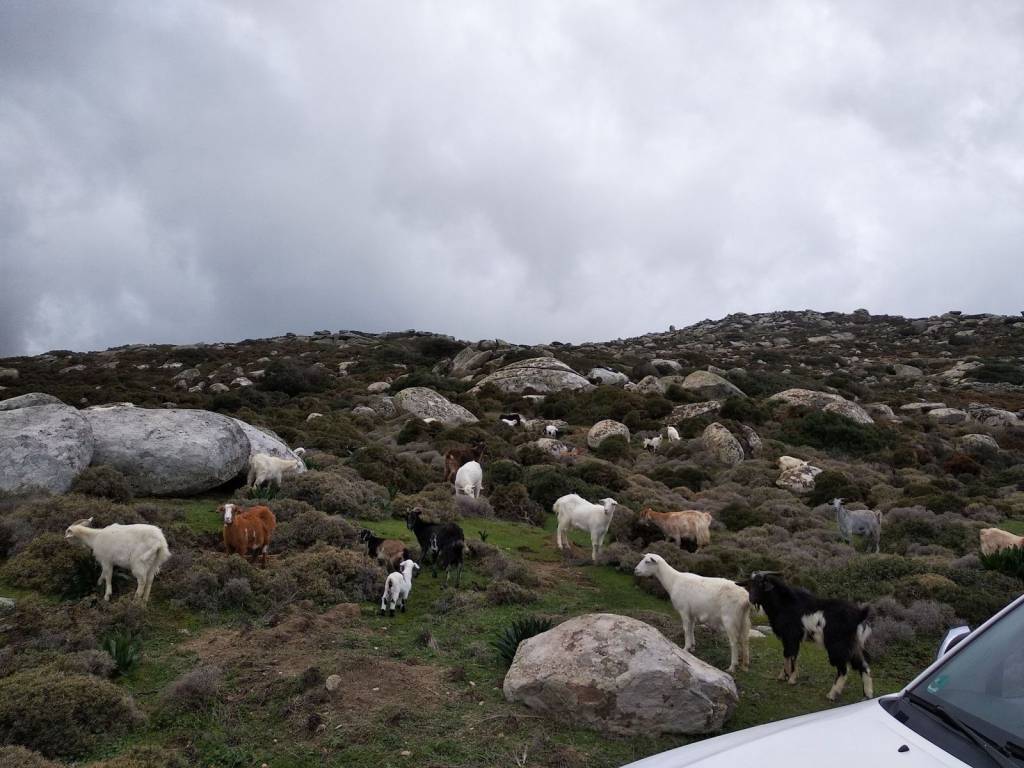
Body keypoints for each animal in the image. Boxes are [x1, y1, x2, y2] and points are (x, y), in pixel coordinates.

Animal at [741, 571, 873, 700]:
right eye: (750, 584)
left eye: (761, 584)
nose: (751, 599)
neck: (785, 604)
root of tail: (859, 615)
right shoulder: (788, 638)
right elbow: (788, 654)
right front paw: (784, 675)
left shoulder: (791, 636)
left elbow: (791, 655)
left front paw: (791, 678)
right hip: (853, 645)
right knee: (863, 666)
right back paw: (867, 694)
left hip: (838, 646)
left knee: (843, 669)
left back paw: (832, 694)